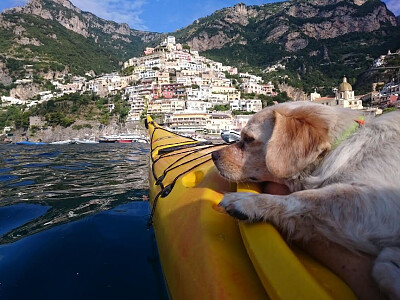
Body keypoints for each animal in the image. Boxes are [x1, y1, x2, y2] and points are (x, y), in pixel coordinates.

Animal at [214, 101, 400, 300]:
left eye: (248, 139)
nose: (213, 156)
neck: (339, 146)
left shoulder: (382, 204)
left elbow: (304, 197)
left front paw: (249, 201)